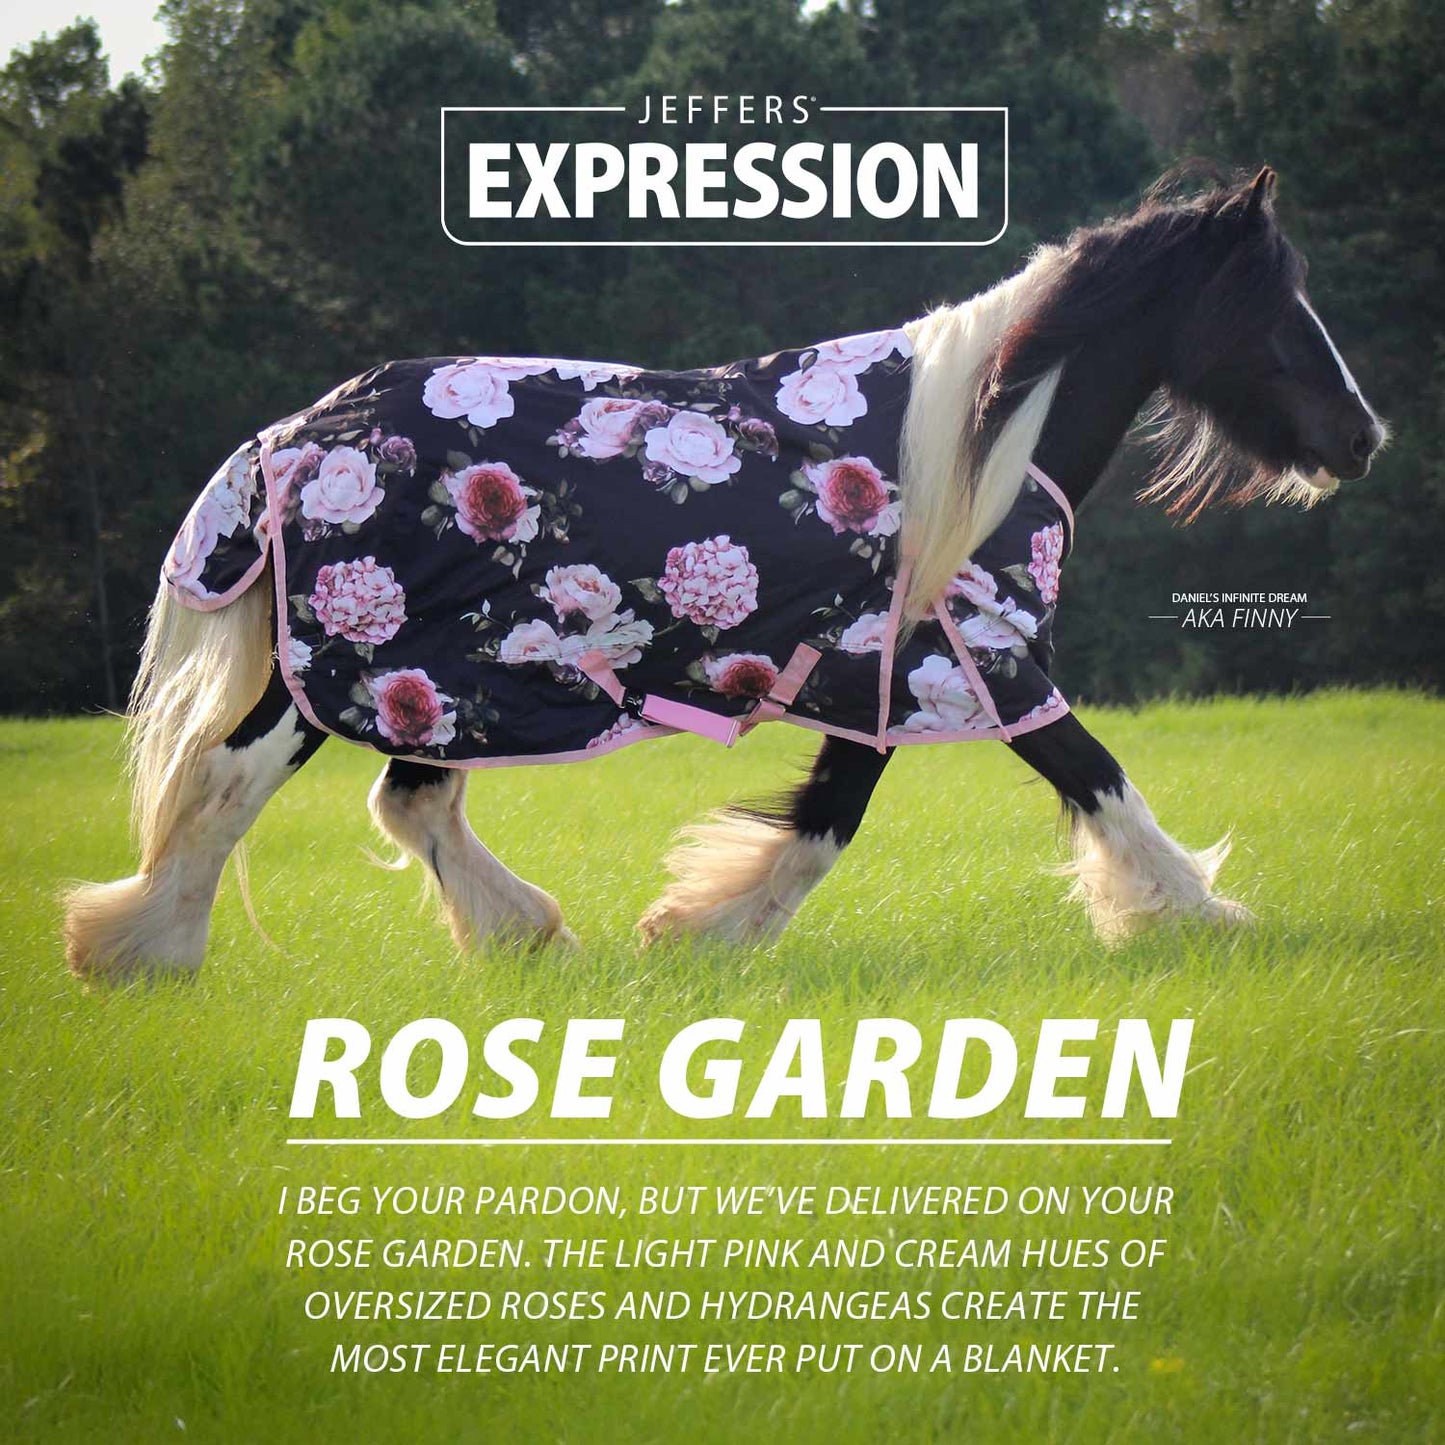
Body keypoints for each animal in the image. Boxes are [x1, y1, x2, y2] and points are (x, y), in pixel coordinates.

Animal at [62, 166, 1385, 979]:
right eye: (1276, 307)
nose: (1360, 438)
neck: (972, 449)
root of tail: (293, 432)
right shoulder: (969, 662)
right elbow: (1093, 780)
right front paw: (1203, 917)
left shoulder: (883, 677)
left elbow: (822, 820)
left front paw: (695, 932)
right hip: (363, 664)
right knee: (232, 780)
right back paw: (142, 951)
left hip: (435, 682)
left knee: (411, 801)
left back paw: (524, 936)